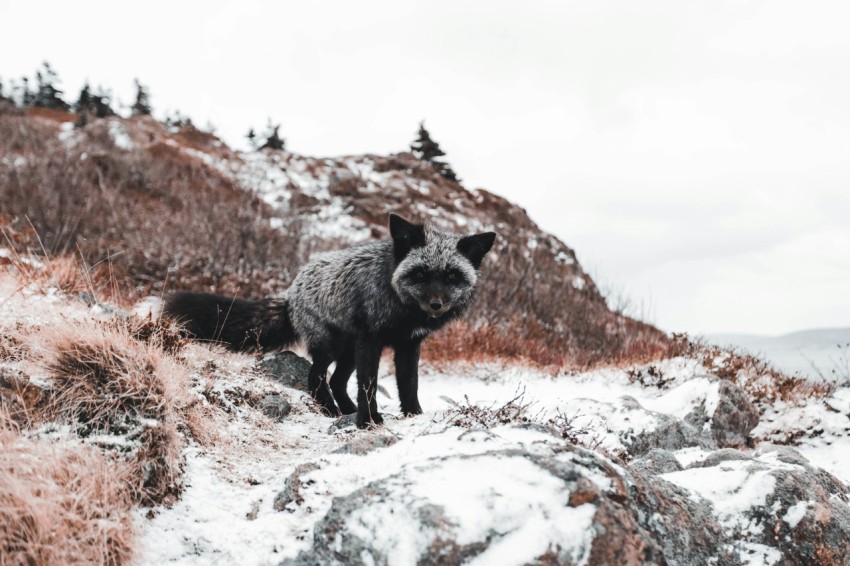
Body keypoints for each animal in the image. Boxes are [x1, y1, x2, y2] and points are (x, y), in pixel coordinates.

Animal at [164, 215, 496, 428]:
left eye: (452, 276)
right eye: (421, 274)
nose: (436, 305)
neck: (401, 305)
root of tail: (291, 292)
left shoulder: (409, 344)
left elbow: (409, 384)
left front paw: (413, 415)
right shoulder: (372, 341)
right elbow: (369, 384)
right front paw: (367, 422)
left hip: (348, 350)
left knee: (336, 381)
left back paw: (345, 409)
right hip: (332, 346)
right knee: (316, 378)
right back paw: (332, 410)